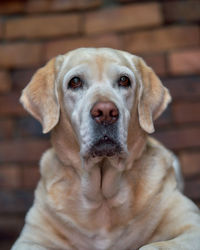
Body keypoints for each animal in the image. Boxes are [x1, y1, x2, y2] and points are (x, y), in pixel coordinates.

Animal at [12, 47, 200, 249]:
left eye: (124, 80)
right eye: (75, 82)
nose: (105, 112)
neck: (102, 196)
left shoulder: (191, 225)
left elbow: (152, 245)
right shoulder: (29, 239)